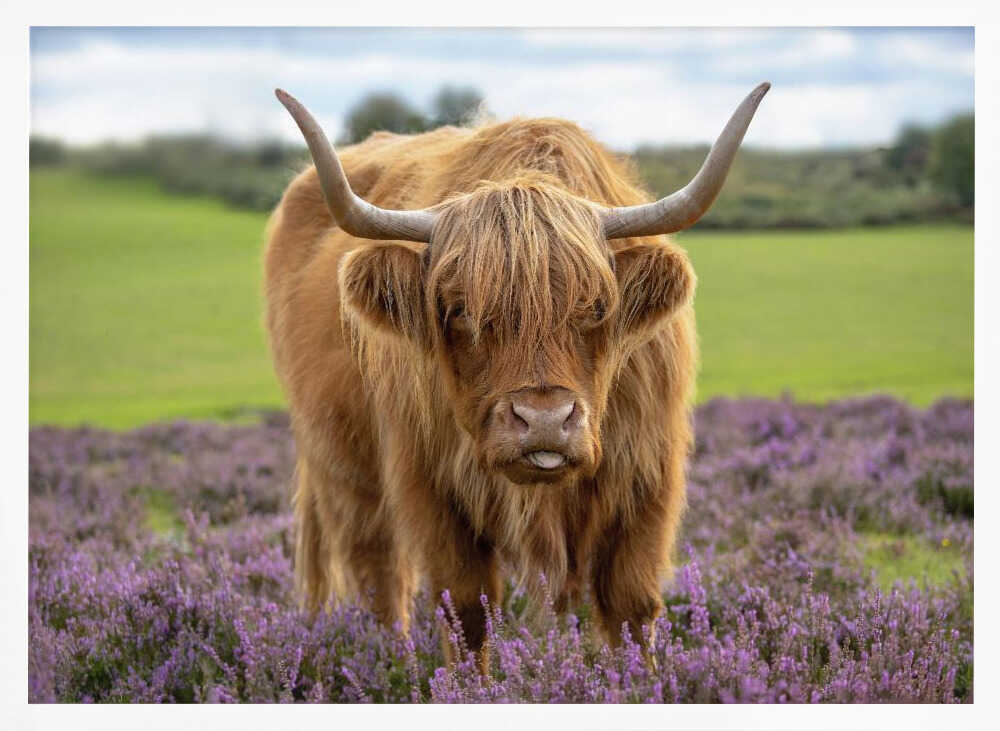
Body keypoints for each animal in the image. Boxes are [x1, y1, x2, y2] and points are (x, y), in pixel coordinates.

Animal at [265, 83, 769, 663]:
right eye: (460, 310)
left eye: (597, 307)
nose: (544, 421)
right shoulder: (433, 484)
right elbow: (464, 610)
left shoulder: (646, 476)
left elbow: (631, 605)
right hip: (344, 468)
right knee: (379, 573)